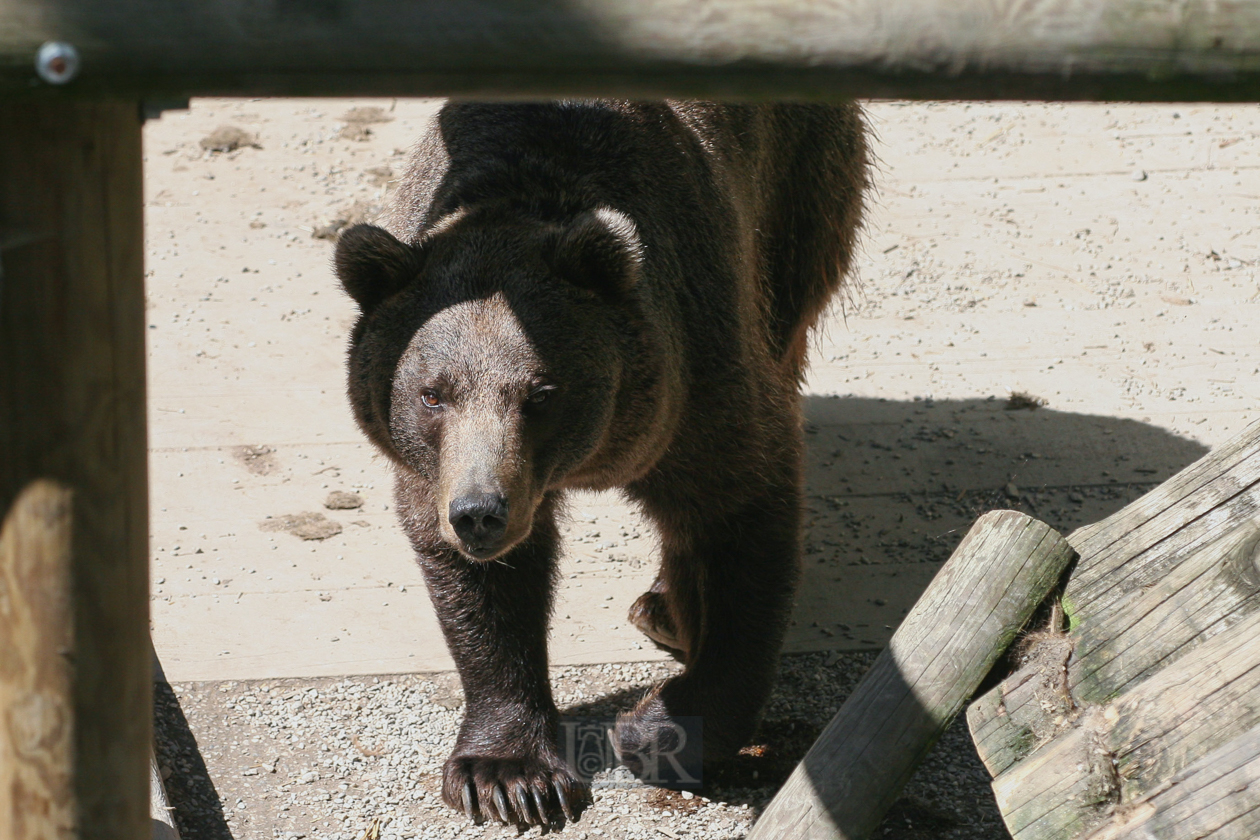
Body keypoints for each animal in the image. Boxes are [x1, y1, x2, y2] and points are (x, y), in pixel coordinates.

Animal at [335, 100, 866, 826]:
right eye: (431, 393)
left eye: (540, 392)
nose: (479, 513)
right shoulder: (442, 471)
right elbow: (484, 591)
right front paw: (510, 776)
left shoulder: (697, 374)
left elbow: (742, 521)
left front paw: (661, 731)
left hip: (795, 208)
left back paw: (668, 608)